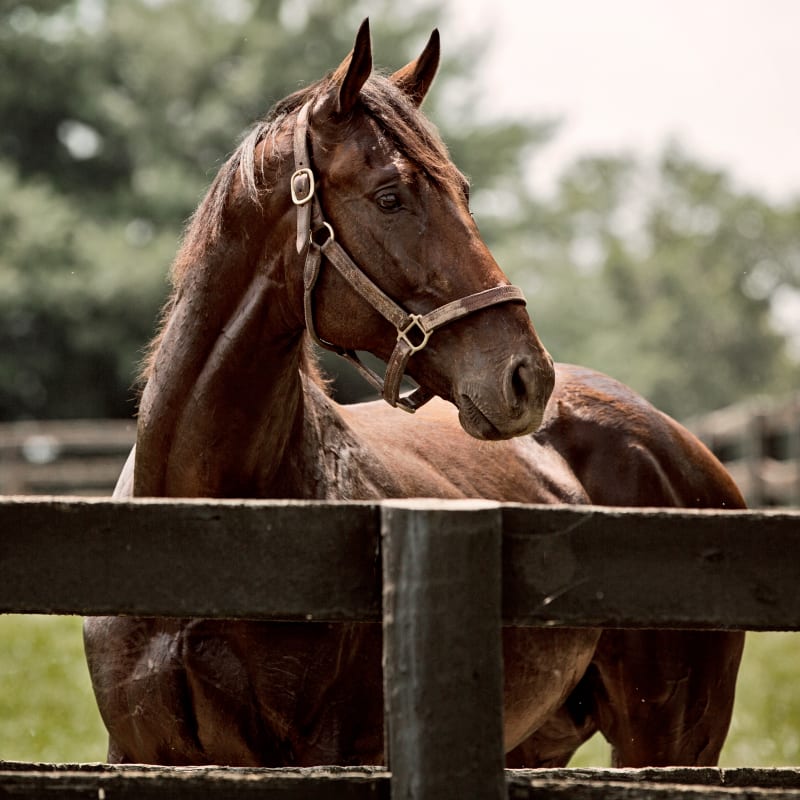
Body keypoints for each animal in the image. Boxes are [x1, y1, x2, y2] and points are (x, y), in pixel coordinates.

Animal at [84, 20, 748, 768]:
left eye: (463, 190)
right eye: (390, 197)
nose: (527, 377)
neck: (198, 525)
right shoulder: (137, 752)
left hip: (668, 743)